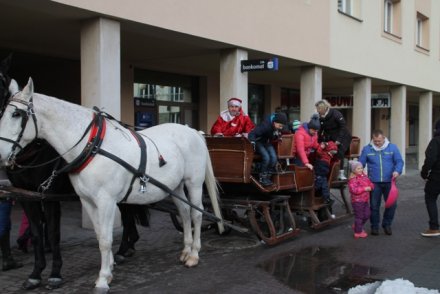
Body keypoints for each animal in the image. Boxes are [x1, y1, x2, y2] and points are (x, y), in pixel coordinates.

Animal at [0, 78, 225, 292]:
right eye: (3, 111)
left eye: (16, 114)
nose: (1, 154)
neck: (93, 146)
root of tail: (193, 131)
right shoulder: (87, 201)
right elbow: (100, 235)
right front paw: (107, 272)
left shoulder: (104, 201)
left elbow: (105, 240)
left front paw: (101, 279)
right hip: (175, 186)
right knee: (185, 212)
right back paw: (185, 250)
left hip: (193, 183)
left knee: (197, 214)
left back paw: (194, 254)